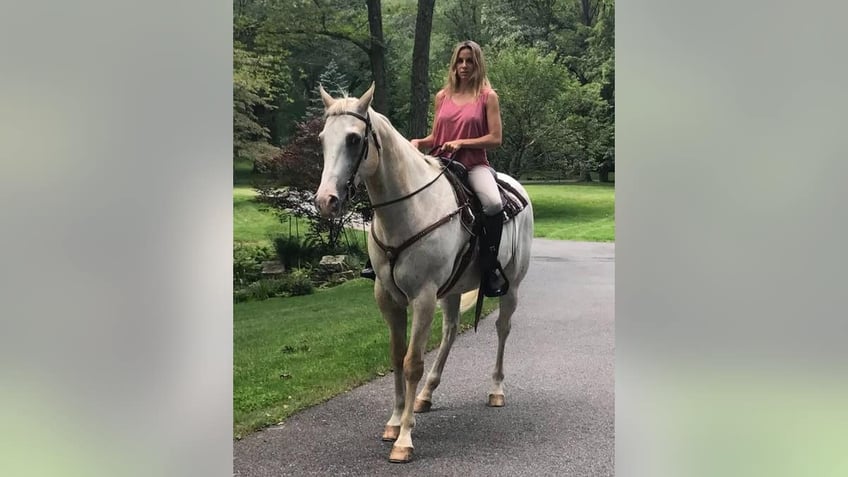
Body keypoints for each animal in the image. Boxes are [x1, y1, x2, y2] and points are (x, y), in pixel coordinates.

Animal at [314, 82, 532, 462]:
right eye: (323, 138)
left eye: (354, 139)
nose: (325, 200)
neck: (408, 210)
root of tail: (517, 190)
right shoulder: (388, 298)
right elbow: (396, 357)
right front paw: (395, 420)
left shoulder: (423, 297)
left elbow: (412, 361)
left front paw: (404, 439)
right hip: (453, 290)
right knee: (450, 333)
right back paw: (426, 395)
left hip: (512, 287)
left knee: (502, 329)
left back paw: (496, 389)